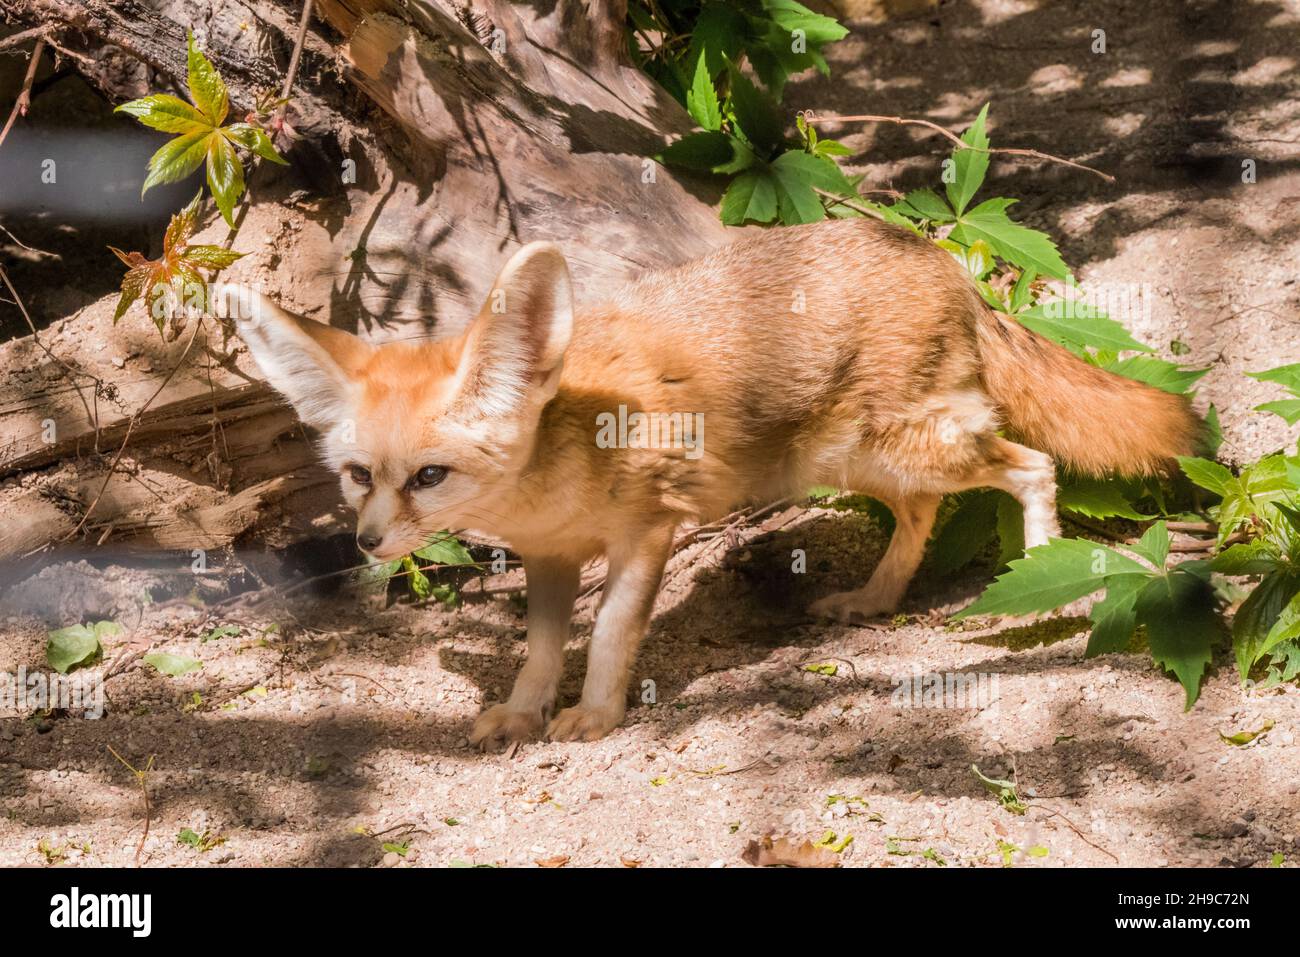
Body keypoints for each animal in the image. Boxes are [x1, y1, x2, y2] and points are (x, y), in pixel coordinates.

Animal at [218, 218, 1190, 748]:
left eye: (429, 475)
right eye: (358, 477)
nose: (367, 541)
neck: (559, 473)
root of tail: (935, 252)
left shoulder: (647, 535)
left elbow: (611, 634)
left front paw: (596, 714)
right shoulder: (549, 560)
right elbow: (539, 651)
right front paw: (523, 713)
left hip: (911, 447)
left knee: (1032, 465)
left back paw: (1050, 573)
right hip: (857, 462)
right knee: (920, 513)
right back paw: (875, 597)